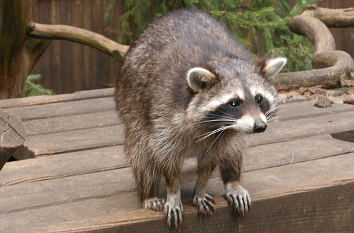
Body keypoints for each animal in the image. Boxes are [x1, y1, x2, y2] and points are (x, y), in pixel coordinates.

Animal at [115, 9, 286, 228]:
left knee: (234, 149)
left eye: (259, 99)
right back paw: (149, 192)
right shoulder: (163, 113)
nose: (260, 126)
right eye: (234, 103)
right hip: (131, 104)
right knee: (141, 154)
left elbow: (212, 159)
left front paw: (202, 186)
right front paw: (173, 191)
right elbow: (165, 156)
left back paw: (233, 180)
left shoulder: (225, 134)